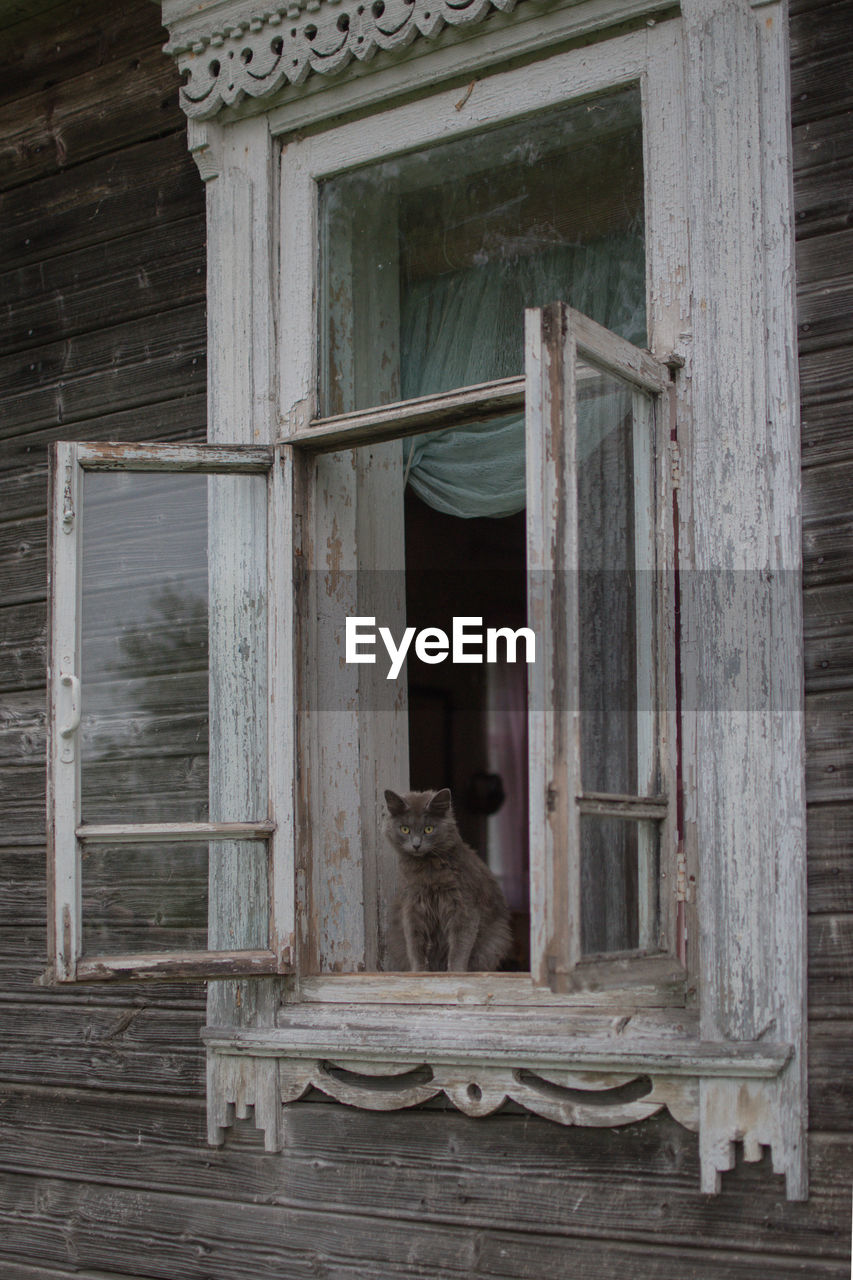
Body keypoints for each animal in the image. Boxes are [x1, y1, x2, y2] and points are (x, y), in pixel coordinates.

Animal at [384, 783, 512, 972]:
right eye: (405, 829)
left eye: (428, 829)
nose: (416, 845)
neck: (428, 871)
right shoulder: (412, 906)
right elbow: (415, 944)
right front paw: (419, 972)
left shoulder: (464, 906)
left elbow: (460, 945)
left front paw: (455, 972)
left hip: (493, 942)